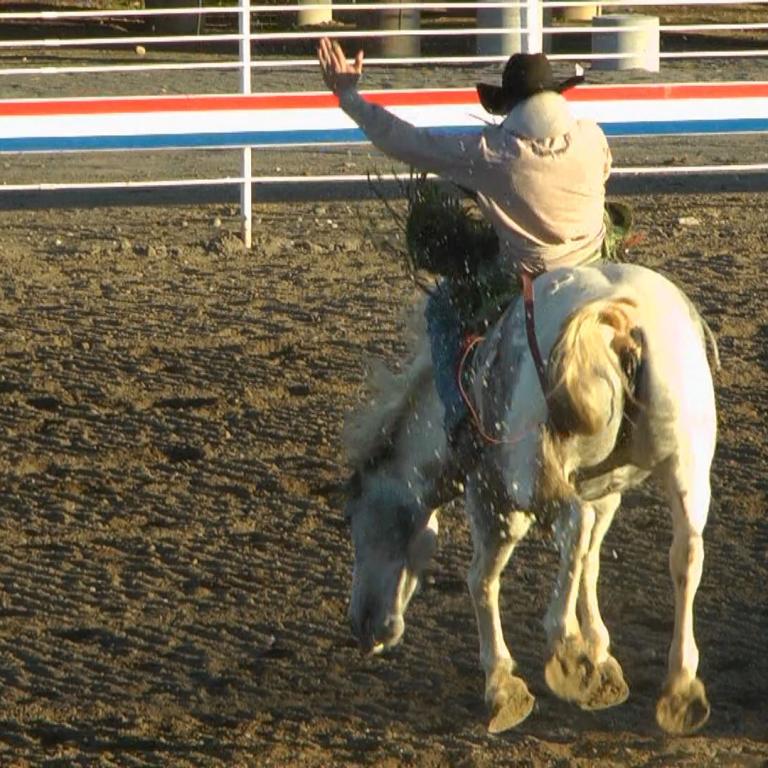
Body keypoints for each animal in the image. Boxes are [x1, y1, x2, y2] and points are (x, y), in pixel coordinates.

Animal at [342, 262, 718, 736]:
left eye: (355, 521)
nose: (362, 626)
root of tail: (613, 316)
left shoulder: (491, 498)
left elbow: (482, 579)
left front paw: (502, 684)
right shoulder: (603, 491)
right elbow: (589, 560)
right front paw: (599, 651)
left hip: (529, 479)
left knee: (572, 528)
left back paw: (565, 647)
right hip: (689, 462)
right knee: (685, 554)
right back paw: (680, 685)